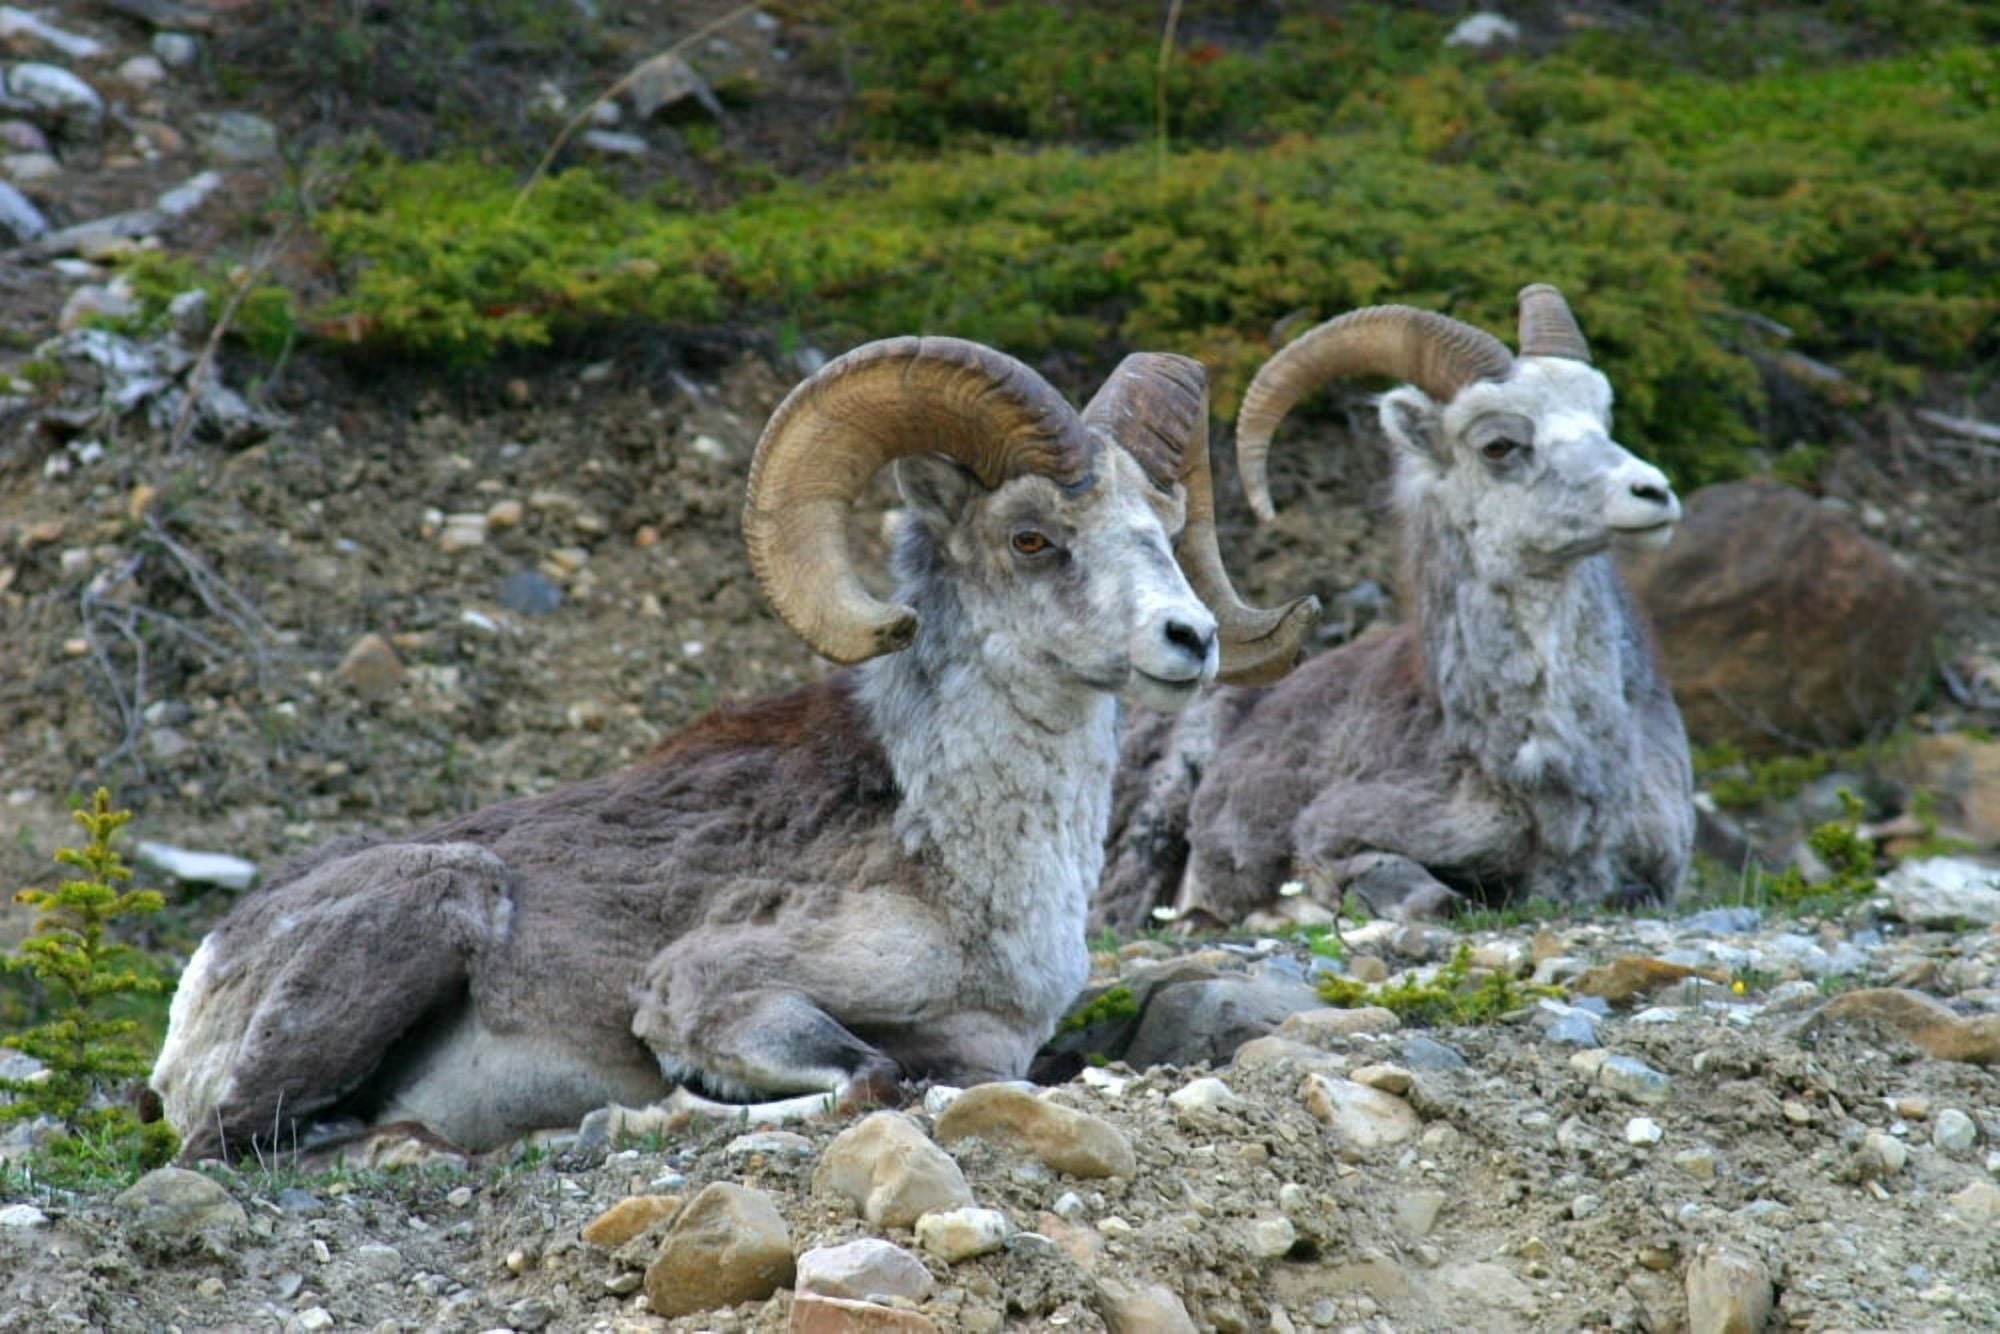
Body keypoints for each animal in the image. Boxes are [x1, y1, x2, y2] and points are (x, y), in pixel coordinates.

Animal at [148, 336, 1318, 1160]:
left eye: (1164, 527)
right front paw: (653, 1112)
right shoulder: (710, 991)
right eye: (1031, 537)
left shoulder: (986, 1042)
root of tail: (205, 968)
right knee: (238, 1143)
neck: (963, 859)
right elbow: (868, 1075)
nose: (1190, 639)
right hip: (436, 899)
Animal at [1096, 285, 1693, 931]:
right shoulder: (1336, 838)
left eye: (1602, 419)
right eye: (1499, 445)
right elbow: (1432, 897)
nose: (1652, 493)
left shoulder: (1651, 881)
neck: (1555, 779)